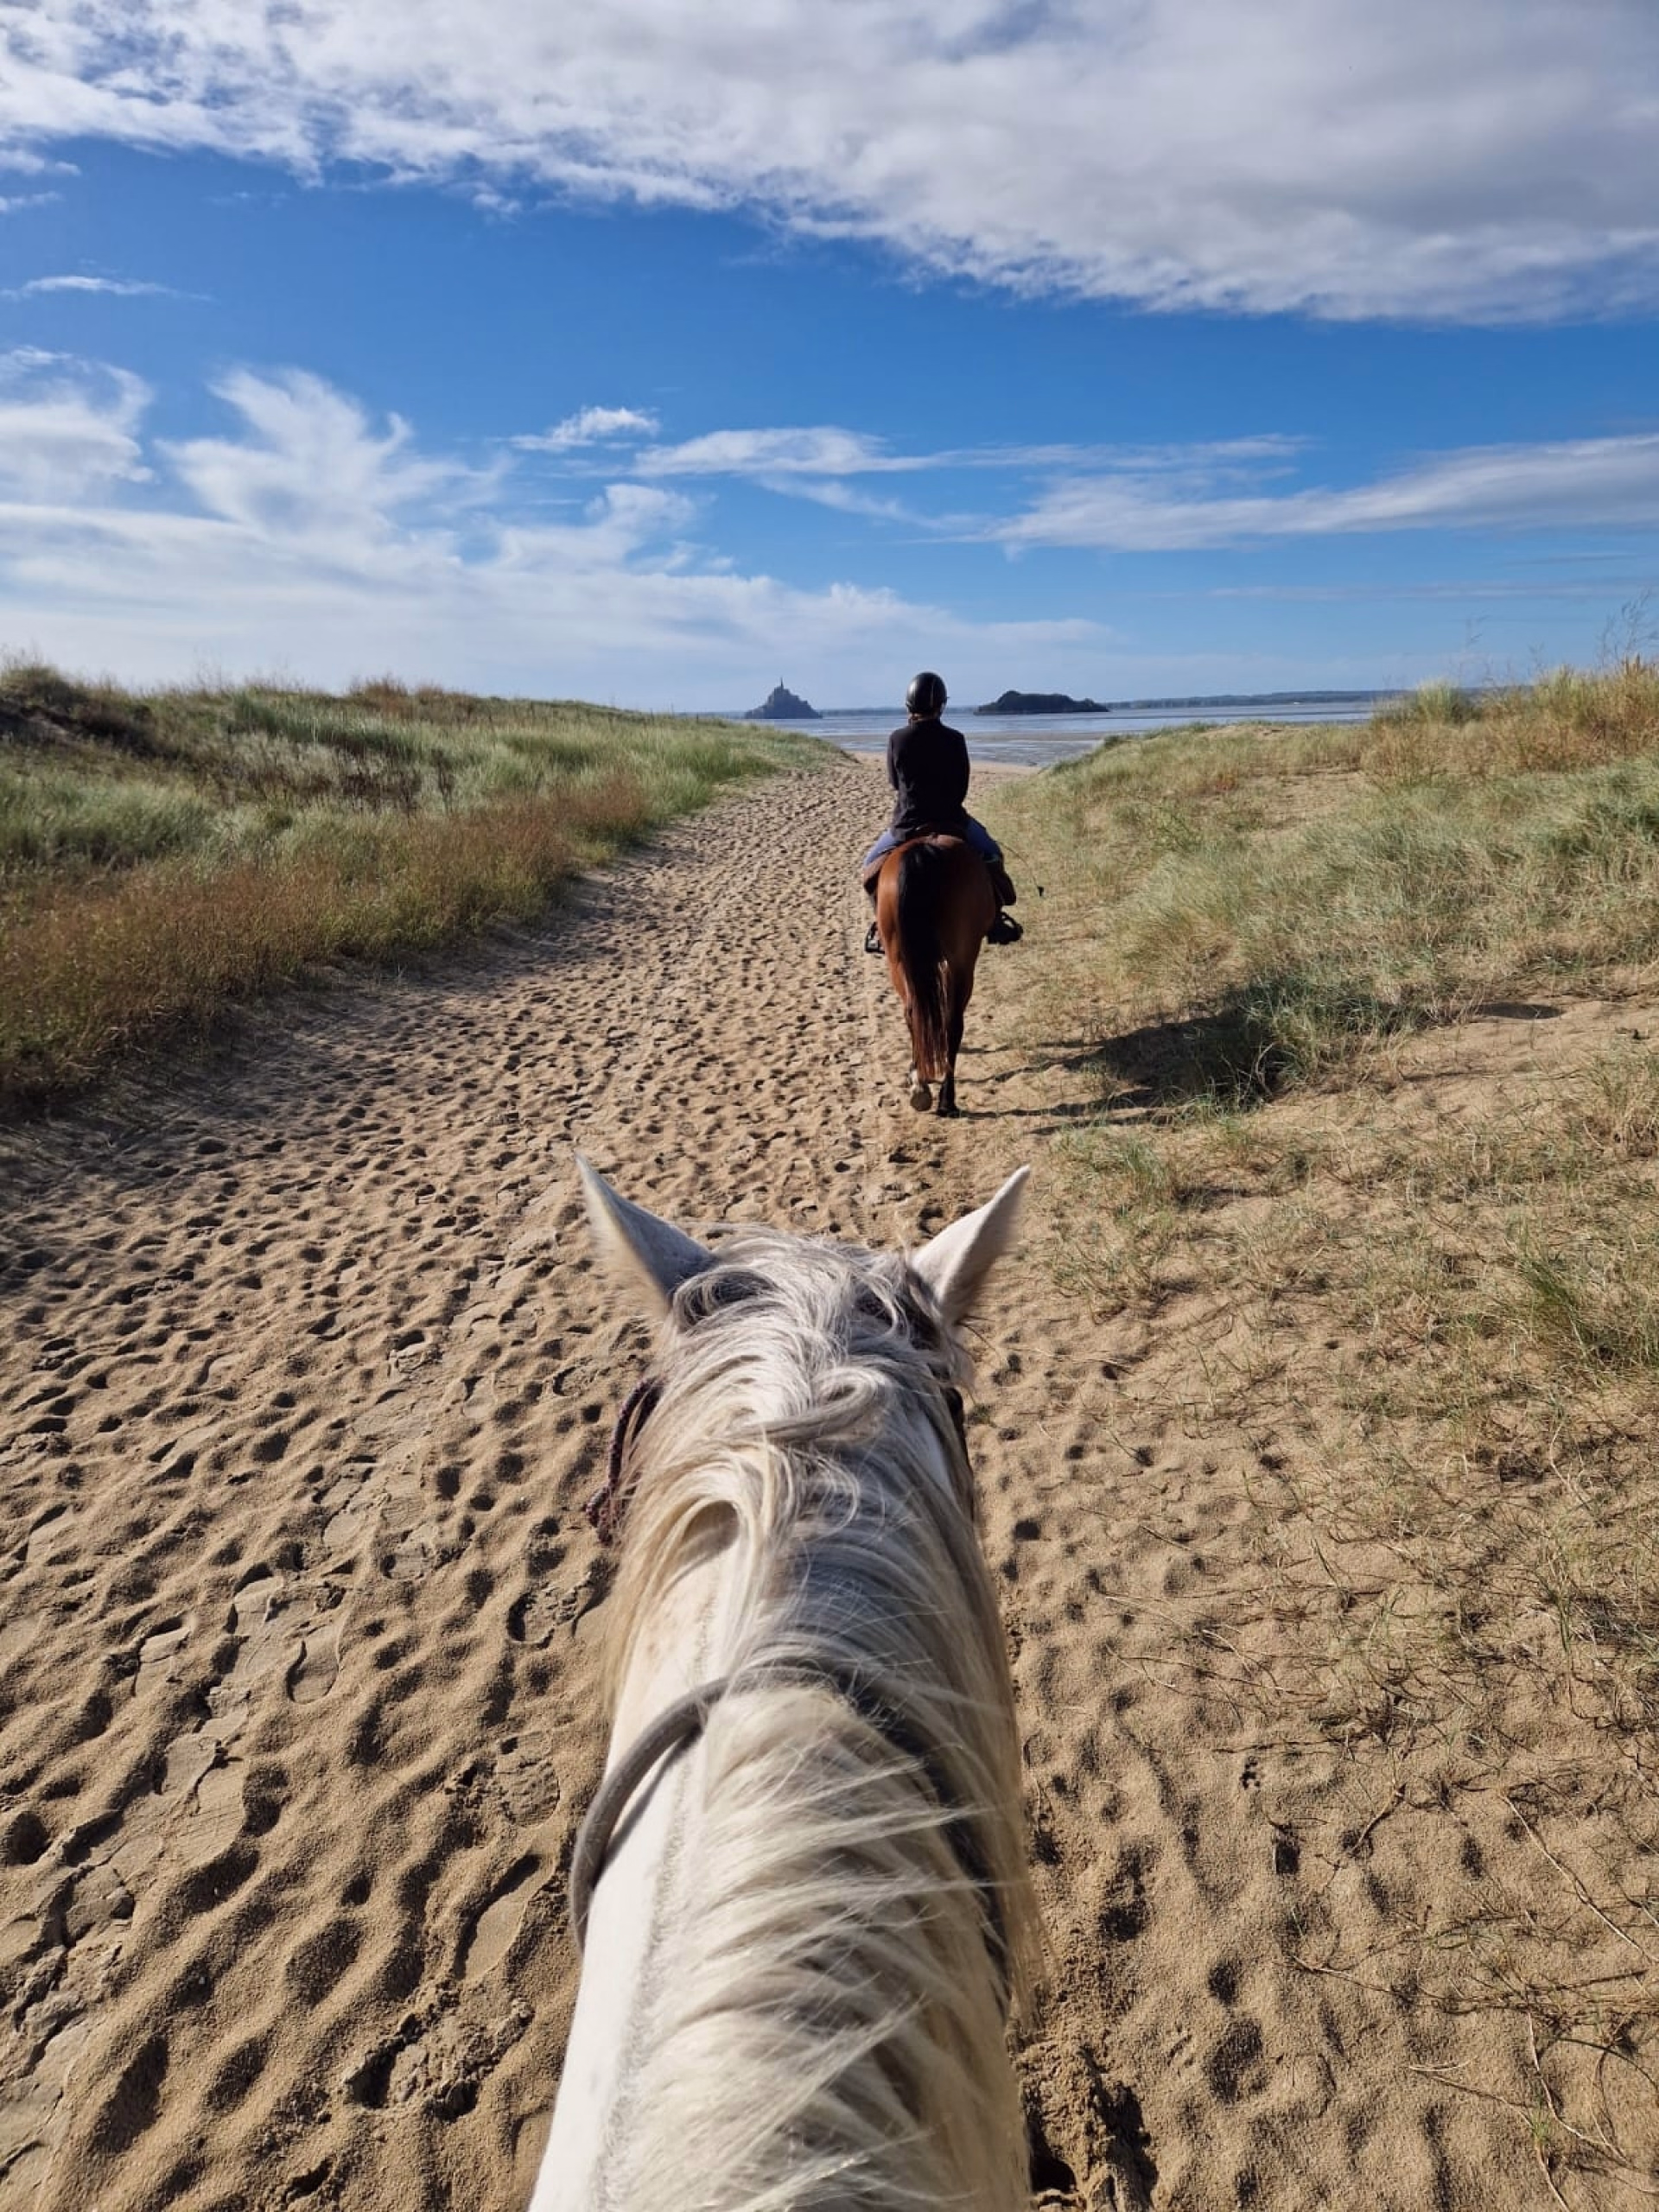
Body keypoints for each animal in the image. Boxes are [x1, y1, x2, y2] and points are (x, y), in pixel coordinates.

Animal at [874, 837, 997, 1118]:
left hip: (898, 959)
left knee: (914, 1012)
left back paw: (921, 1086)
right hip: (962, 959)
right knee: (952, 1021)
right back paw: (945, 1098)